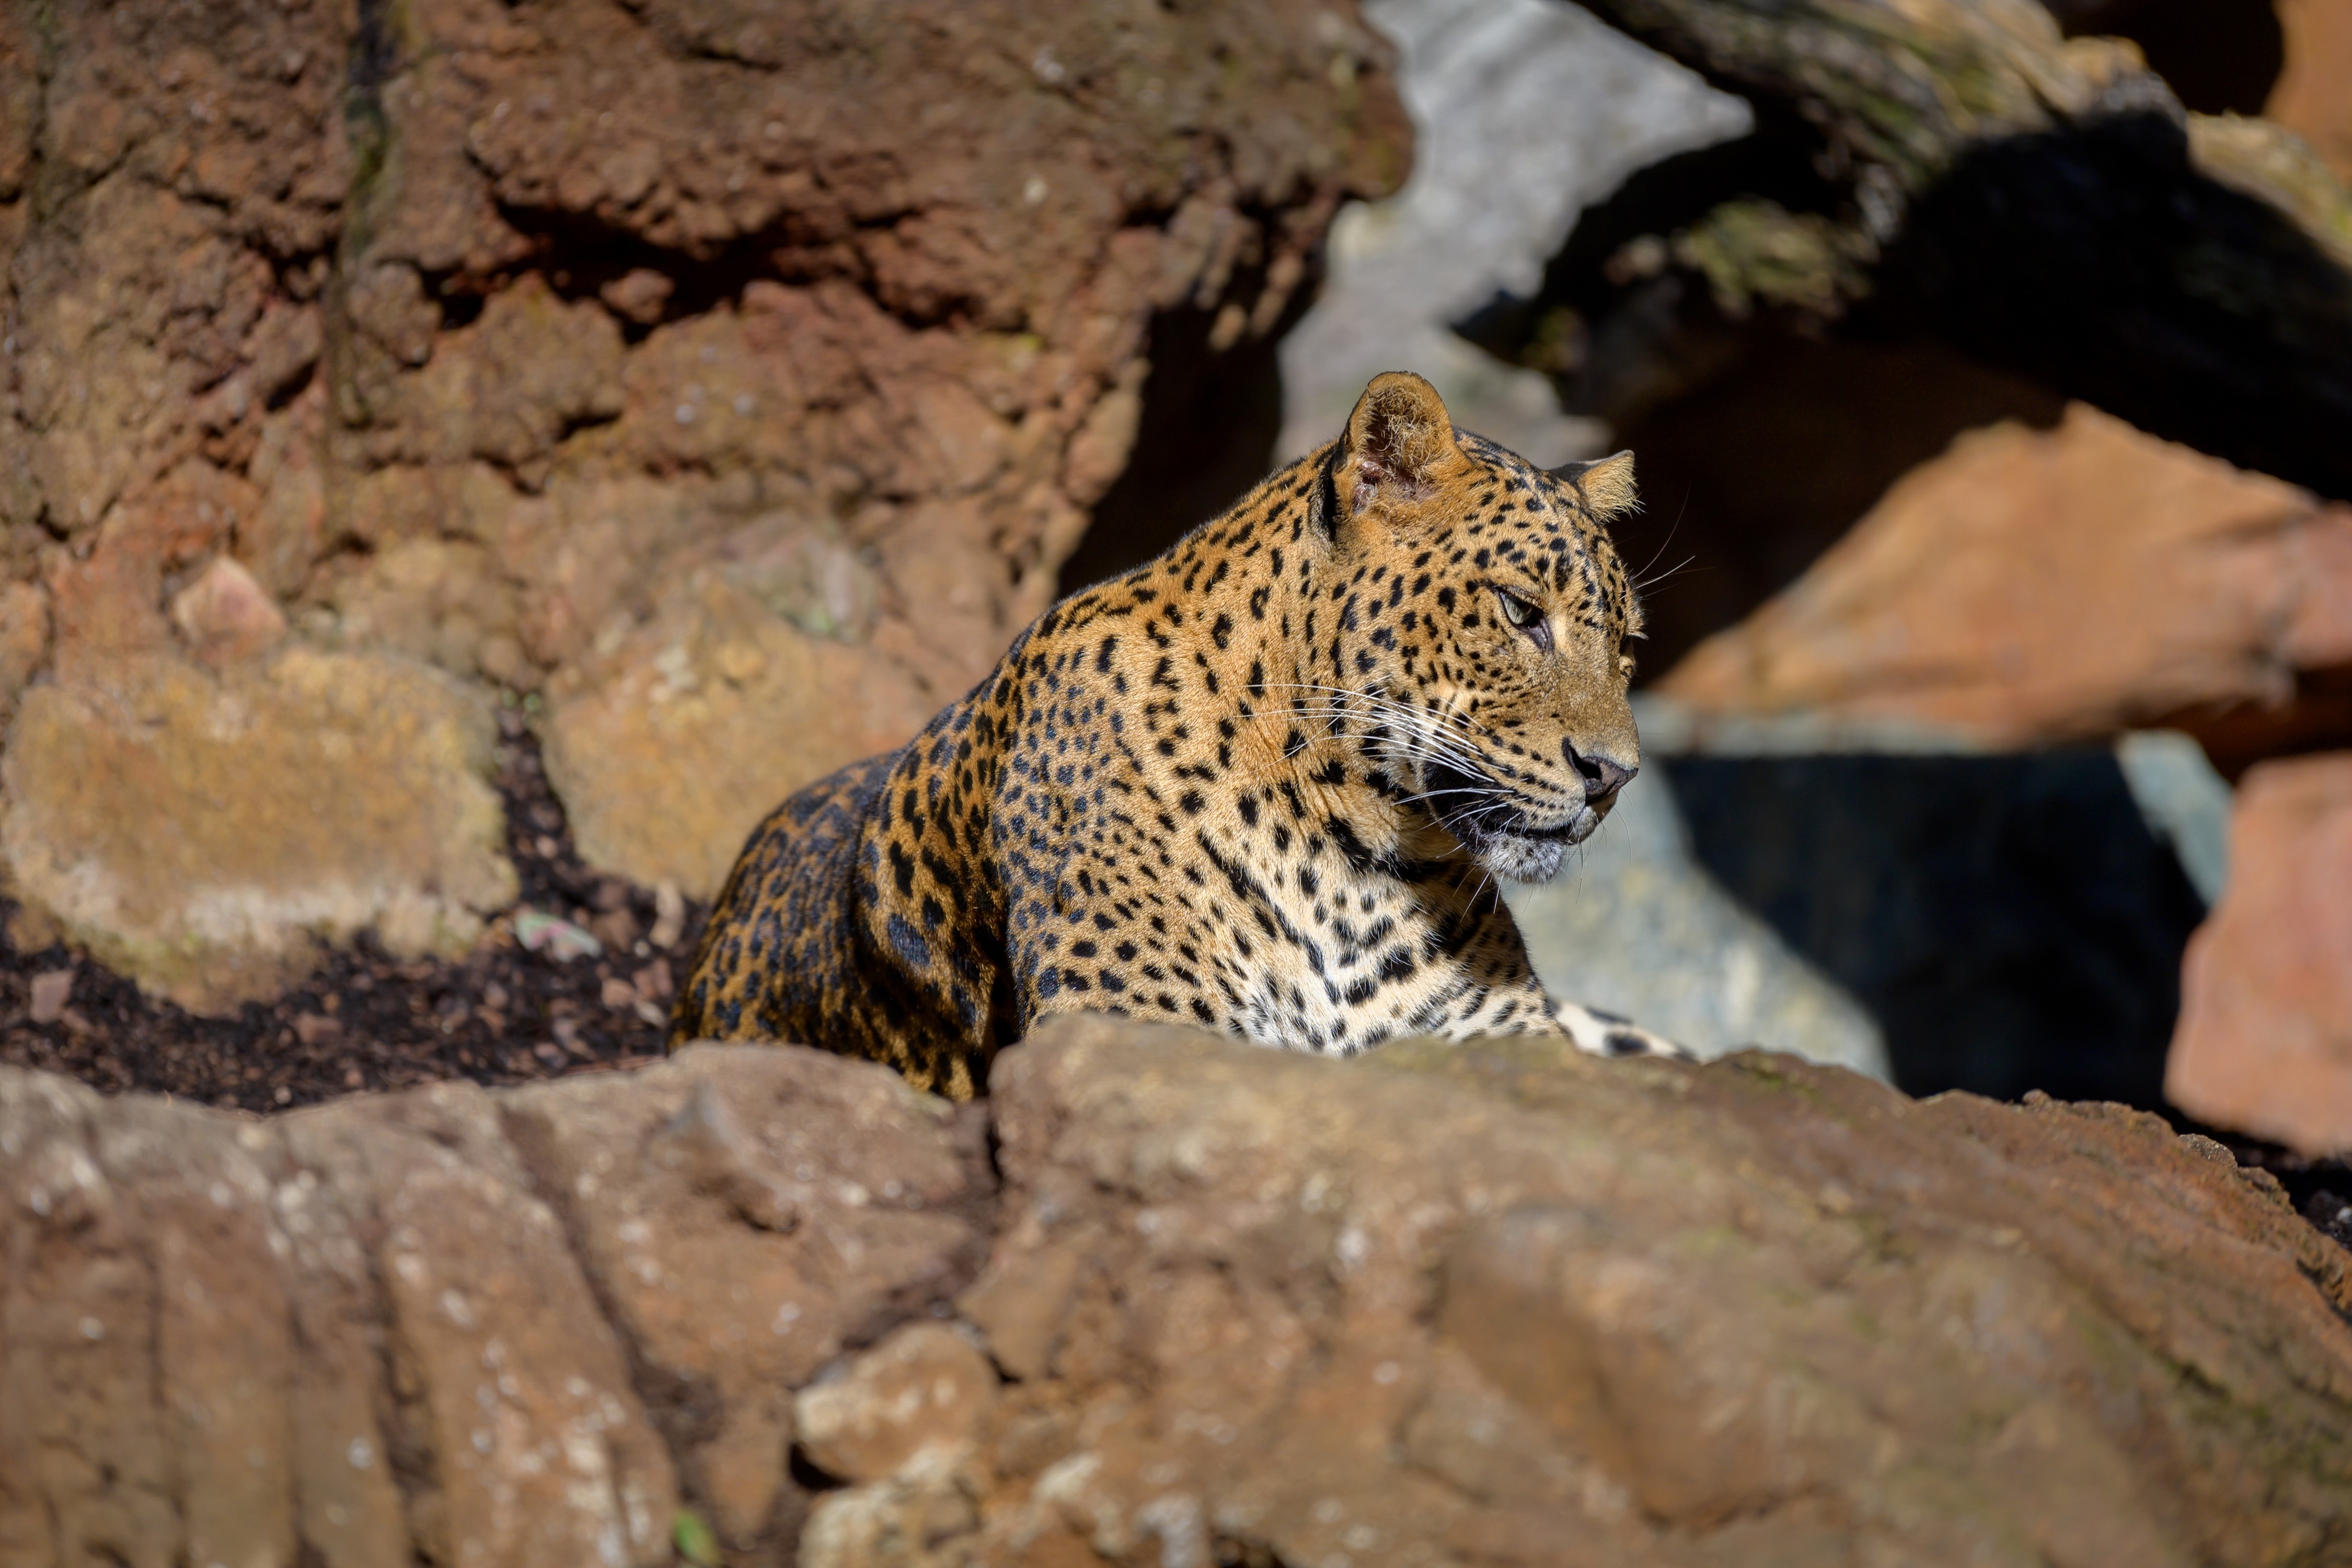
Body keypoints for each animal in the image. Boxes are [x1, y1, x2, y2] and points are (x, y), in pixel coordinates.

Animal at [671, 370, 1686, 1099]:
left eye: (1630, 647)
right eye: (1519, 612)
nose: (1613, 777)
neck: (1354, 858)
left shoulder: (1500, 1039)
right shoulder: (1131, 1027)